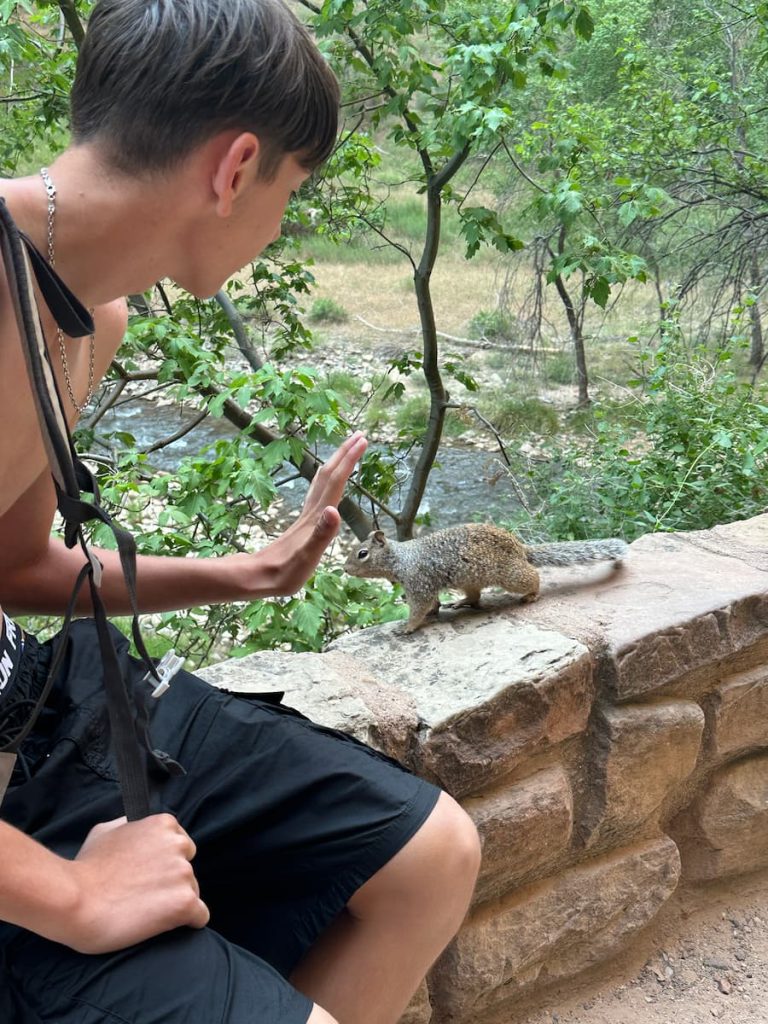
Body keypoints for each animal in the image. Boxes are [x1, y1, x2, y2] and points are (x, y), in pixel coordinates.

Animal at [344, 524, 628, 633]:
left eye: (362, 553)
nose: (345, 569)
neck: (401, 559)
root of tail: (521, 548)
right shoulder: (424, 585)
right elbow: (432, 603)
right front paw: (434, 612)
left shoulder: (418, 582)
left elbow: (419, 608)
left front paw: (407, 627)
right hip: (470, 580)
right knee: (475, 597)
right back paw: (461, 603)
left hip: (511, 576)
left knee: (533, 576)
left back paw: (532, 594)